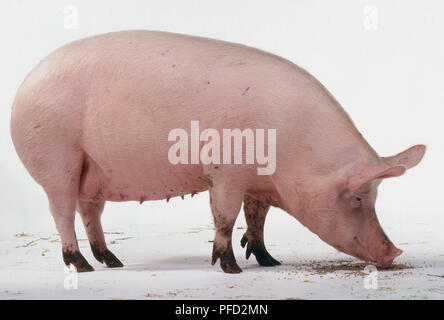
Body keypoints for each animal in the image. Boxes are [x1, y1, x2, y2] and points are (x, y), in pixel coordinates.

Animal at [11, 30, 426, 272]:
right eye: (357, 197)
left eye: (374, 197)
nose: (394, 253)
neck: (293, 148)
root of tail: (24, 88)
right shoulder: (225, 172)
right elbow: (225, 216)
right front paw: (231, 268)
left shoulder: (259, 184)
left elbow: (256, 219)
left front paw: (269, 261)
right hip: (56, 157)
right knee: (61, 211)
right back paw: (82, 266)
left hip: (93, 172)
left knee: (89, 211)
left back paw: (112, 262)